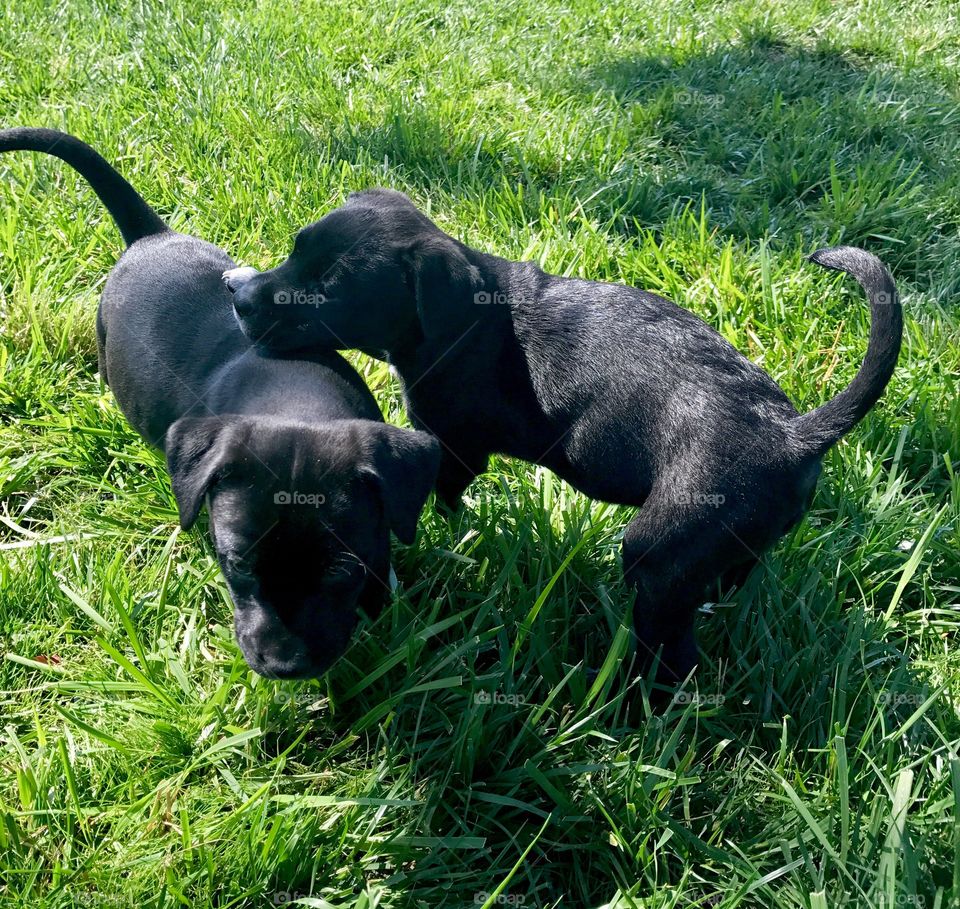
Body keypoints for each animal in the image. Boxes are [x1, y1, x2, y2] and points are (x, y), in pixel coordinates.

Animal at [225, 192, 900, 688]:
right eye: (294, 250)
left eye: (329, 289)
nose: (235, 291)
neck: (463, 313)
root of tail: (792, 435)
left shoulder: (454, 444)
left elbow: (443, 497)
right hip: (726, 550)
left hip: (660, 556)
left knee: (674, 656)